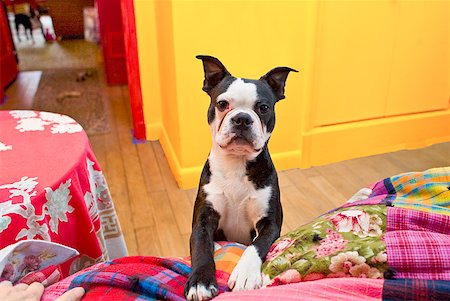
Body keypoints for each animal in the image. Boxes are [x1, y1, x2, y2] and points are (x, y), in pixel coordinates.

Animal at [185, 55, 298, 298]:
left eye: (263, 107)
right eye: (222, 104)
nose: (243, 119)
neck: (236, 164)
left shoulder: (269, 224)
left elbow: (256, 246)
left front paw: (245, 275)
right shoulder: (203, 222)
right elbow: (201, 249)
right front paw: (200, 282)